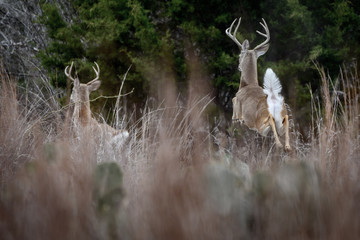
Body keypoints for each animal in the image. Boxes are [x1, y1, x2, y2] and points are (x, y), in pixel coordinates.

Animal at [226, 17, 292, 151]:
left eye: (240, 55)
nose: (238, 66)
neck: (247, 84)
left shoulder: (238, 114)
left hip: (260, 123)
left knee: (270, 124)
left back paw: (279, 144)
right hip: (281, 124)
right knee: (286, 121)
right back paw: (287, 146)